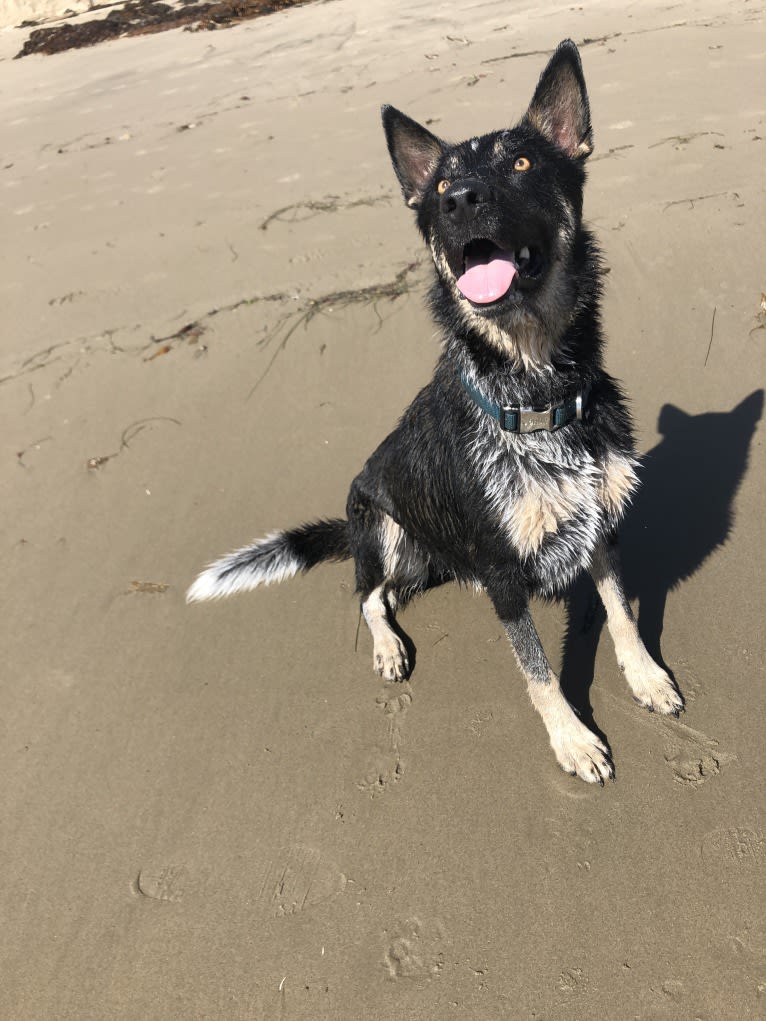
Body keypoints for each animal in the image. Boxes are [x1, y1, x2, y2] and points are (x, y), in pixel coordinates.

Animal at [188, 39, 686, 784]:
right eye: (442, 186)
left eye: (521, 162)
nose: (459, 200)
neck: (535, 392)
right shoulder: (506, 574)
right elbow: (539, 670)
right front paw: (572, 739)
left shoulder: (601, 526)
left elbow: (622, 611)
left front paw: (646, 677)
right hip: (384, 524)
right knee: (368, 593)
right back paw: (387, 646)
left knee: (389, 591)